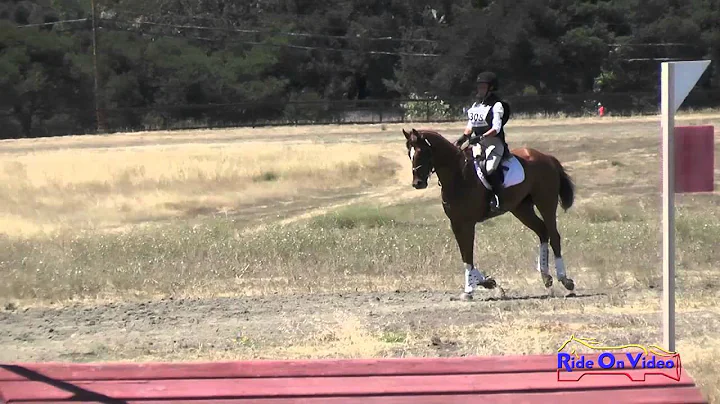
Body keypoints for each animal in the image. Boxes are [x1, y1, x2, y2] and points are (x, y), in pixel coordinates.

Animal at [402, 129, 576, 300]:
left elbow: (468, 253)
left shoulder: (467, 223)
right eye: (410, 154)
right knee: (542, 231)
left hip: (546, 203)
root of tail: (546, 157)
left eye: (422, 152)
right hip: (521, 209)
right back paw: (546, 277)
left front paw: (470, 289)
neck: (458, 175)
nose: (417, 183)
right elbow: (465, 255)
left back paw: (565, 280)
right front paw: (486, 282)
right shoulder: (456, 222)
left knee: (554, 235)